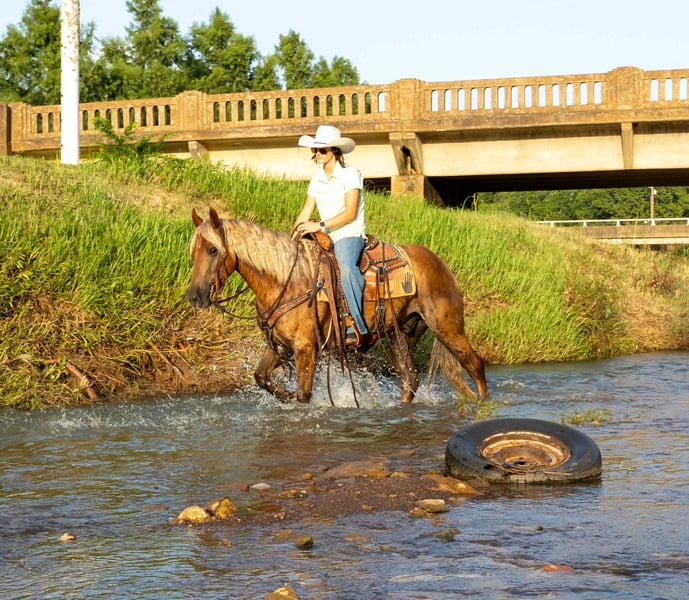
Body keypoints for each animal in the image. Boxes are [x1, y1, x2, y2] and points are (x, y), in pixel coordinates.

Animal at [186, 207, 488, 404]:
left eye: (212, 250)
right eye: (193, 252)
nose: (194, 296)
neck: (286, 281)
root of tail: (440, 263)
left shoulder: (306, 348)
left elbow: (304, 396)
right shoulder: (280, 344)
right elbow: (261, 377)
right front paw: (284, 396)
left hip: (447, 327)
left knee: (474, 365)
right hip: (399, 334)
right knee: (409, 380)